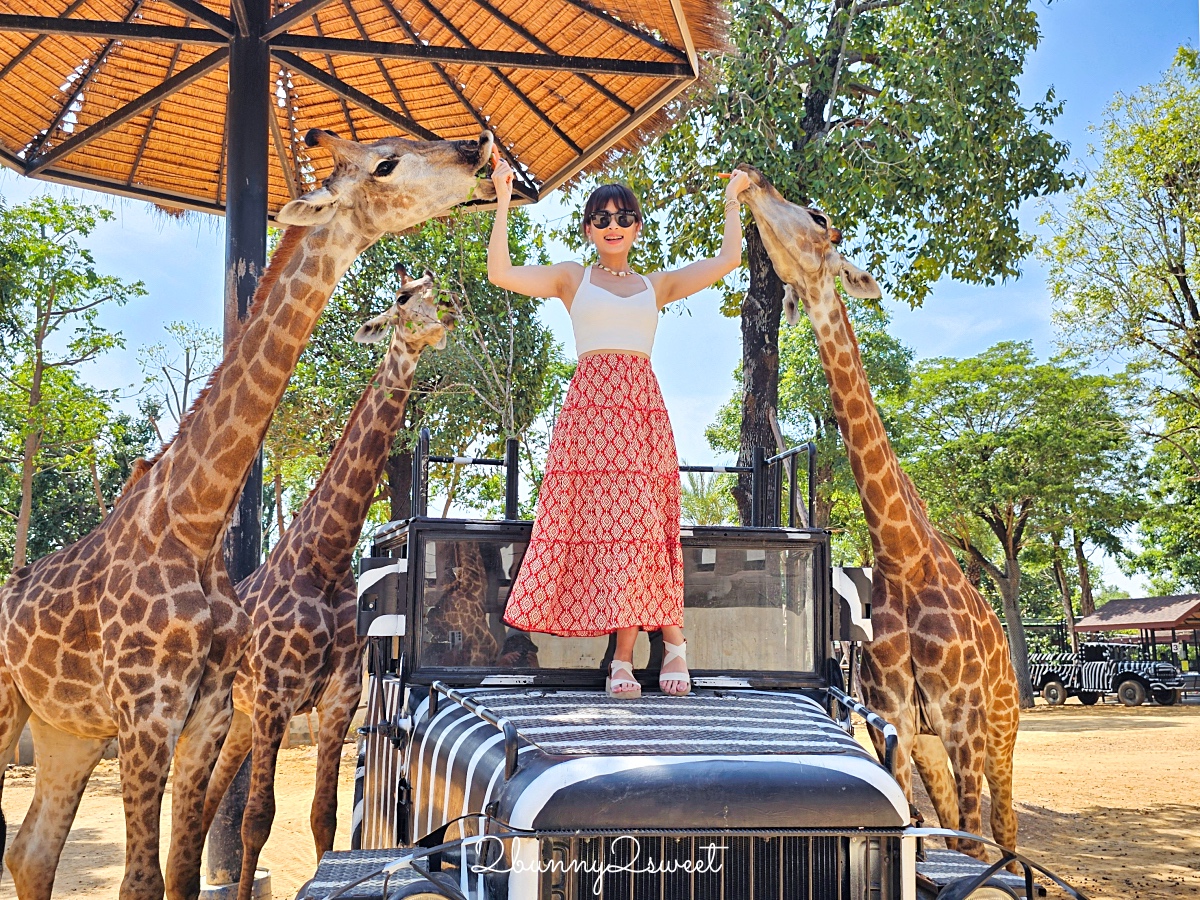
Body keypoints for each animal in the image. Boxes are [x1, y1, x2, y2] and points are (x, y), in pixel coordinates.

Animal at [201, 270, 453, 900]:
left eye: (439, 291)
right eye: (402, 300)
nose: (442, 321)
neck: (327, 560)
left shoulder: (338, 699)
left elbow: (324, 816)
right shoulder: (274, 697)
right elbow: (257, 819)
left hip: (236, 720)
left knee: (209, 797)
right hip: (218, 712)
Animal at [734, 165, 1017, 864]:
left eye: (818, 217)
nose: (751, 178)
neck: (900, 553)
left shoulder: (962, 719)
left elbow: (971, 847)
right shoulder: (897, 717)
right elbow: (915, 827)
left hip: (1000, 733)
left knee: (1002, 833)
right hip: (939, 746)